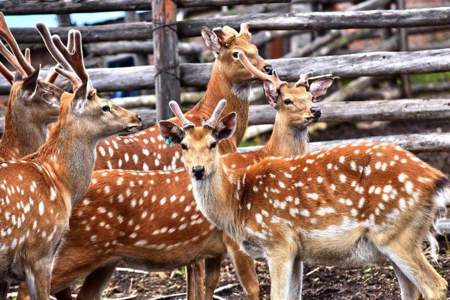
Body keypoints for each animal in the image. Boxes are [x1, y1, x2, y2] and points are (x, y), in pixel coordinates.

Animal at [14, 68, 334, 300]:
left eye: (312, 98)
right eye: (287, 100)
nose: (315, 113)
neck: (263, 156)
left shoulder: (214, 249)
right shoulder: (234, 239)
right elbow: (252, 289)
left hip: (103, 261)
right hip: (68, 250)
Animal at [160, 99, 448, 300]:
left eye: (213, 143)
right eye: (183, 145)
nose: (198, 170)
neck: (237, 205)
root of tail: (436, 179)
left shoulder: (278, 241)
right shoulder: (297, 252)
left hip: (396, 233)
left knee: (436, 286)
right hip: (399, 237)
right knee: (412, 290)